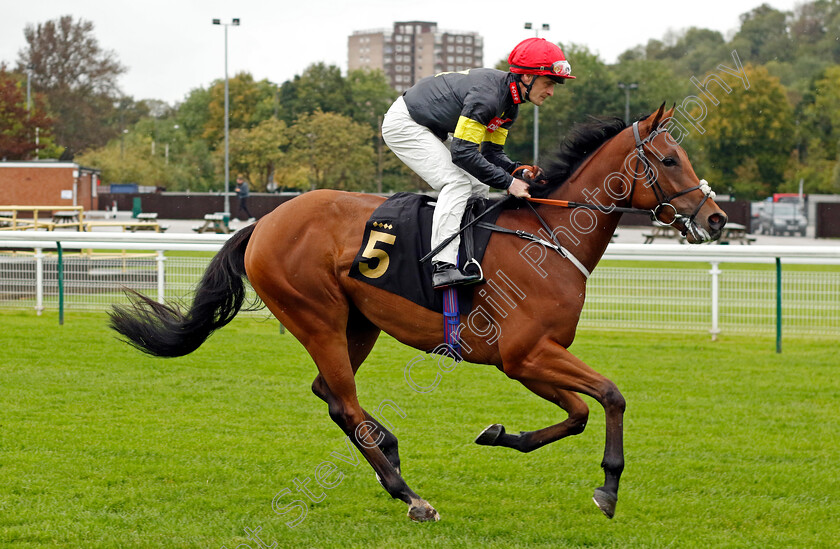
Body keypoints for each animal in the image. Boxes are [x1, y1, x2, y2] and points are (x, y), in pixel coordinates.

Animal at [110, 104, 728, 524]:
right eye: (669, 158)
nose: (717, 219)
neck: (550, 236)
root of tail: (263, 222)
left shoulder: (527, 360)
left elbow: (578, 413)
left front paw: (498, 434)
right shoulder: (526, 354)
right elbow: (611, 396)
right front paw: (608, 489)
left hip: (358, 324)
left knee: (330, 396)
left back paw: (391, 453)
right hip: (317, 317)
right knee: (343, 402)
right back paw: (410, 494)